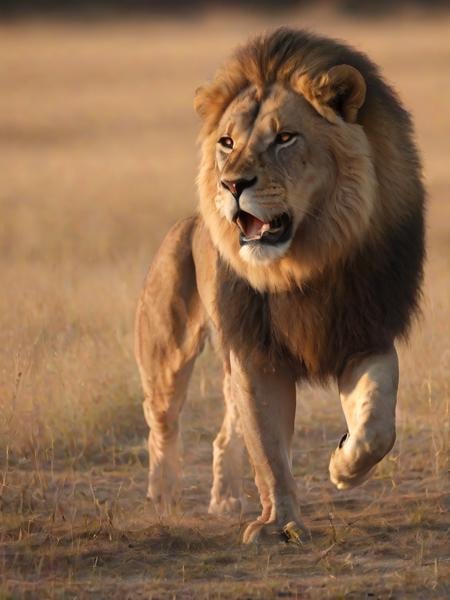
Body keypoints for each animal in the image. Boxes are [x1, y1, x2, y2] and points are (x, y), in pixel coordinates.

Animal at [134, 28, 426, 544]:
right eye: (227, 142)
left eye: (285, 138)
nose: (232, 185)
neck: (302, 266)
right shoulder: (255, 351)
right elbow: (268, 449)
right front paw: (280, 524)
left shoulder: (362, 334)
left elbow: (376, 426)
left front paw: (343, 466)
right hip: (166, 349)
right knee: (162, 426)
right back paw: (164, 497)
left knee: (224, 435)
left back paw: (226, 500)